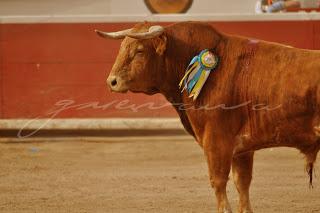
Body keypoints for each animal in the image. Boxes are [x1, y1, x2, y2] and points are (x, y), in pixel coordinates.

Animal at [96, 22, 320, 213]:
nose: (111, 81)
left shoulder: (216, 141)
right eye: (122, 47)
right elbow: (242, 184)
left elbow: (218, 182)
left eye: (140, 51)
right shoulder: (242, 149)